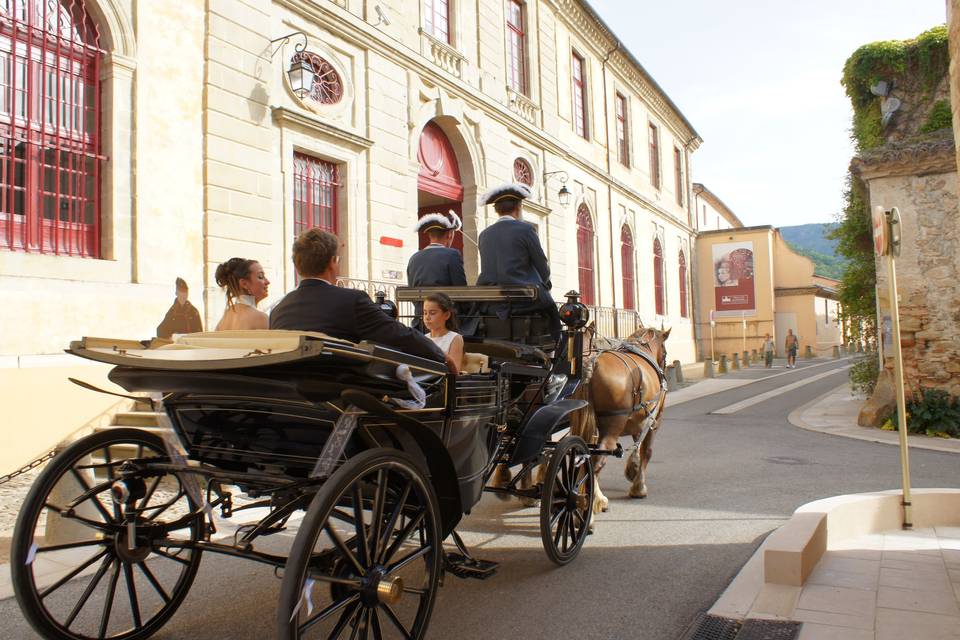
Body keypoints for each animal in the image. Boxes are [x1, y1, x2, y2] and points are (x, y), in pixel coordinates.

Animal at [572, 328, 672, 512]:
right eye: (665, 352)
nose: (664, 367)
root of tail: (593, 363)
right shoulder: (654, 420)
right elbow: (646, 450)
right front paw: (639, 487)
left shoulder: (639, 420)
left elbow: (637, 446)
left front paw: (633, 469)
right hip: (613, 425)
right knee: (598, 459)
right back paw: (596, 501)